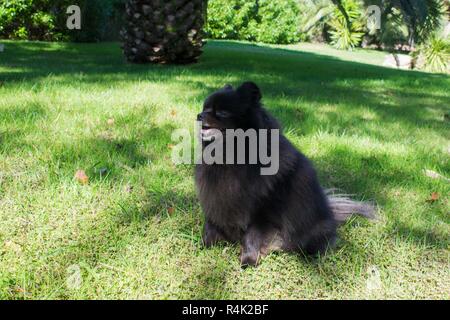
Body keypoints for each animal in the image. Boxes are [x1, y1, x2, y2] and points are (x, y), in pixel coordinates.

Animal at [193, 81, 372, 266]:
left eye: (221, 112)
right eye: (205, 108)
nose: (199, 115)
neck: (232, 156)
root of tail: (331, 213)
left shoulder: (262, 211)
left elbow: (252, 236)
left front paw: (249, 259)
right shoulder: (215, 197)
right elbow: (210, 225)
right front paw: (205, 245)